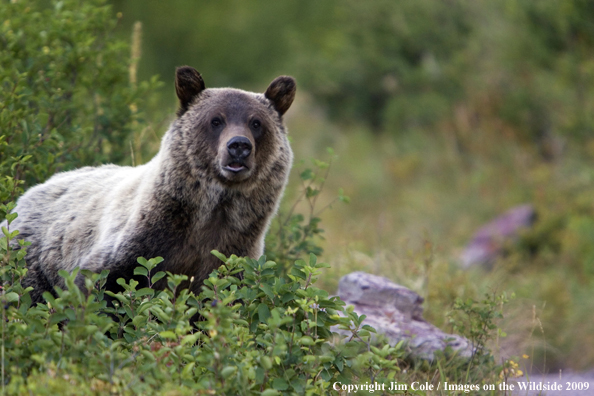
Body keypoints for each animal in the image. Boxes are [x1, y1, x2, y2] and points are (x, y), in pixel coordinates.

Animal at [2, 65, 294, 304]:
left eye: (256, 122)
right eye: (216, 120)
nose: (239, 147)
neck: (213, 208)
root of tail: (24, 196)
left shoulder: (233, 251)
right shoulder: (141, 246)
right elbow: (108, 288)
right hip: (29, 258)